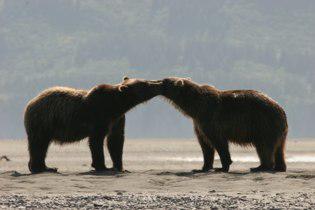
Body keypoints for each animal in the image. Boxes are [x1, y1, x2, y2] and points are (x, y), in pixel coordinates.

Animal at [24, 76, 163, 173]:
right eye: (146, 84)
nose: (160, 83)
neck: (116, 105)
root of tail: (30, 104)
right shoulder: (99, 115)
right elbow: (96, 140)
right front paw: (103, 166)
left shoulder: (117, 119)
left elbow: (116, 140)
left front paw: (120, 167)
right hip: (43, 120)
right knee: (39, 144)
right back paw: (41, 167)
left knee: (41, 146)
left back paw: (45, 167)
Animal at [160, 77, 288, 172]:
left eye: (165, 81)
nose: (159, 81)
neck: (196, 107)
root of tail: (281, 109)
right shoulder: (198, 123)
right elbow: (205, 145)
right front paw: (203, 167)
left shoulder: (210, 117)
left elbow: (218, 142)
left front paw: (222, 166)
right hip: (277, 130)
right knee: (279, 149)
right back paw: (279, 167)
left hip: (263, 124)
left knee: (264, 147)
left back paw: (261, 167)